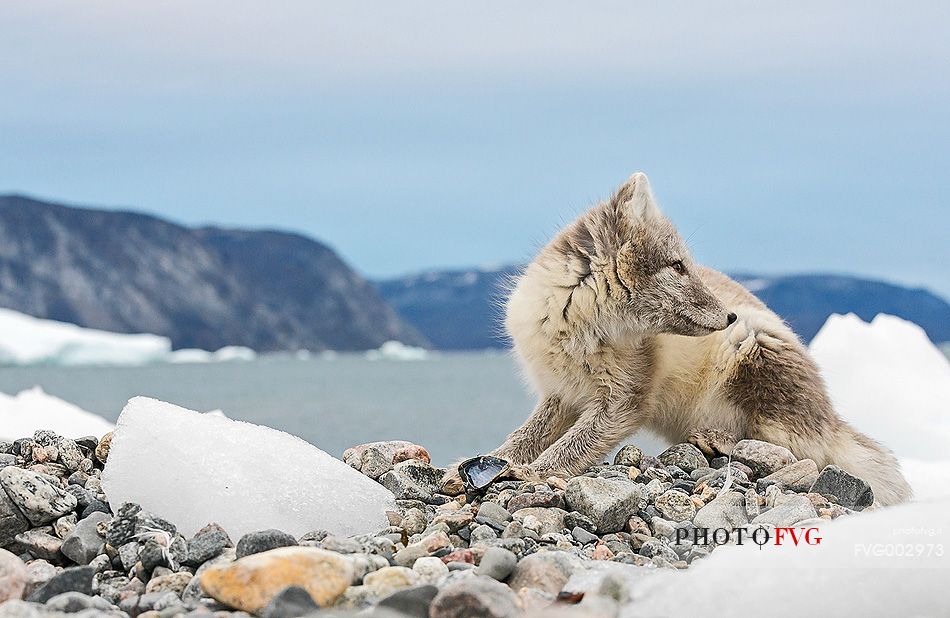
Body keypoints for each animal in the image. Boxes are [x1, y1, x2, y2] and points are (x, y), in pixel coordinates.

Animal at [464, 171, 912, 502]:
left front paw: (526, 473)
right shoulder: (562, 392)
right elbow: (524, 436)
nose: (729, 314)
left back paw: (719, 439)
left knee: (793, 452)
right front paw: (484, 463)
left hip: (751, 350)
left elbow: (568, 447)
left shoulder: (624, 400)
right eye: (678, 266)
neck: (581, 329)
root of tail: (829, 415)